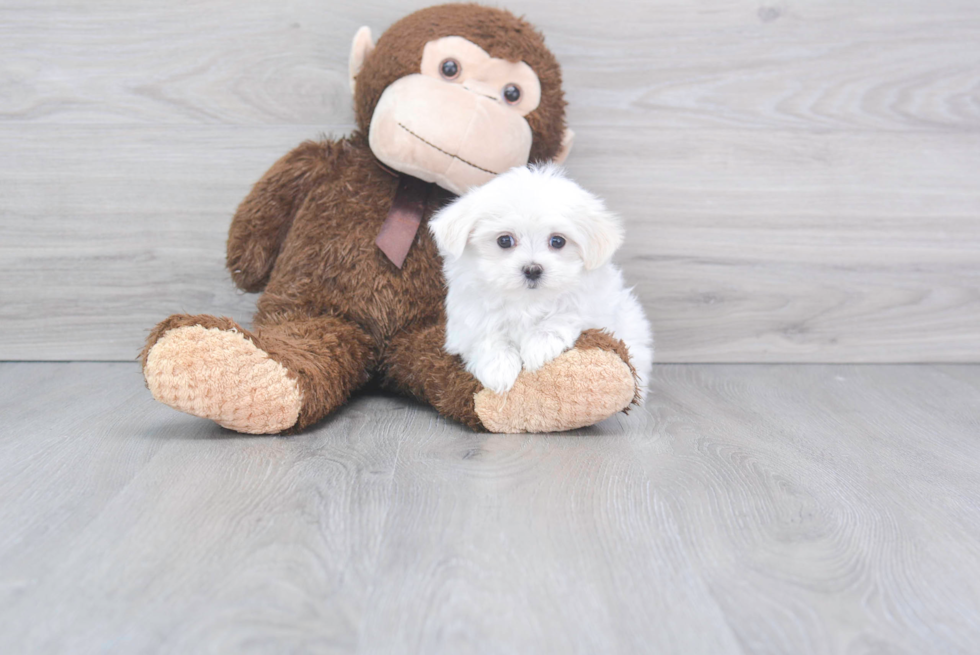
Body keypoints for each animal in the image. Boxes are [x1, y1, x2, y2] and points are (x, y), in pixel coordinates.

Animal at [426, 164, 652, 400]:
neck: (527, 302)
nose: (532, 270)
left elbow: (567, 315)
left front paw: (539, 346)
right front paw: (499, 368)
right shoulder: (467, 321)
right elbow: (486, 337)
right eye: (504, 240)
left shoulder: (595, 308)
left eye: (558, 241)